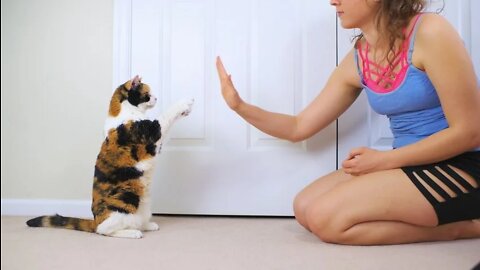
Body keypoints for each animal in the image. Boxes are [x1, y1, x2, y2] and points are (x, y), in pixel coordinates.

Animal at [26, 76, 194, 238]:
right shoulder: (152, 131)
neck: (125, 112)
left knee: (134, 221)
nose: (156, 98)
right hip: (126, 197)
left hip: (144, 204)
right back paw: (133, 233)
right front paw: (185, 103)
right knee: (103, 230)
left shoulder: (156, 144)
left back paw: (147, 225)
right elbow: (166, 115)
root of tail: (95, 220)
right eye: (147, 94)